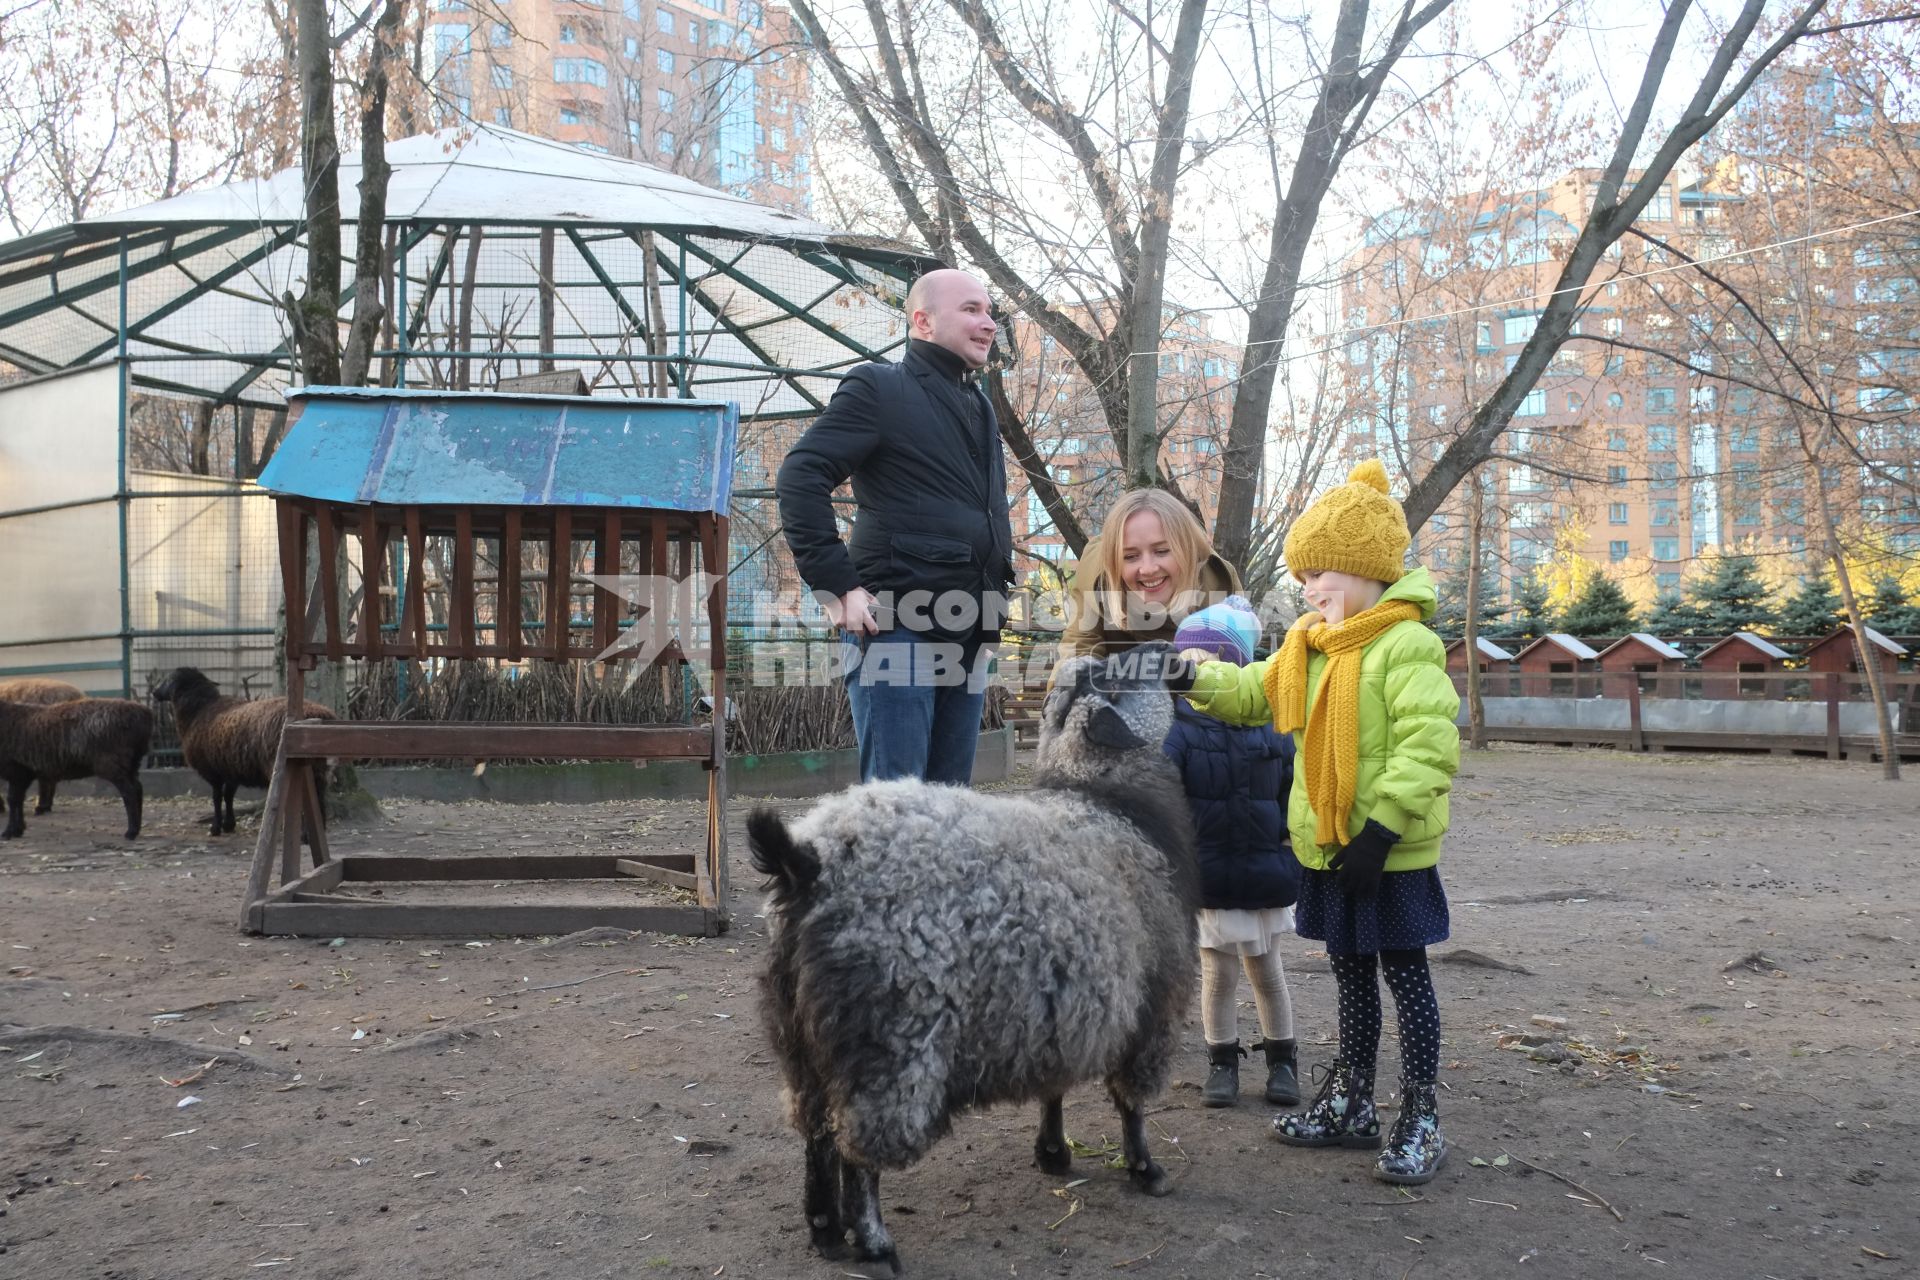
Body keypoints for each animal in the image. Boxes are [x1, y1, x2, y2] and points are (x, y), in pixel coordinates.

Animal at [0, 702, 151, 840]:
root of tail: (143, 714)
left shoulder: (17, 770)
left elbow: (13, 800)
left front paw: (9, 832)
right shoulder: (23, 774)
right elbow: (18, 800)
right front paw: (17, 830)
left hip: (114, 763)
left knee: (129, 792)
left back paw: (131, 832)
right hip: (132, 763)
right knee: (138, 788)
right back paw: (137, 828)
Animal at [150, 671, 337, 840]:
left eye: (168, 678)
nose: (154, 692)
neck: (198, 711)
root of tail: (319, 713)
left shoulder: (213, 772)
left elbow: (216, 798)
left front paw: (215, 828)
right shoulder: (231, 770)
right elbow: (228, 796)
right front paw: (229, 825)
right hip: (318, 767)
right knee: (318, 798)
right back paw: (315, 833)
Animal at [752, 644, 1190, 1274]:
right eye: (1123, 672)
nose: (1168, 650)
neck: (1109, 805)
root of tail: (806, 862)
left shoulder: (1062, 1005)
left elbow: (1053, 1086)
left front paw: (1053, 1153)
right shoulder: (1153, 1008)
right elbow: (1131, 1103)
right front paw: (1145, 1169)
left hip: (799, 1039)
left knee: (815, 1130)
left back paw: (825, 1230)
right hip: (892, 1041)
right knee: (859, 1146)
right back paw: (874, 1241)